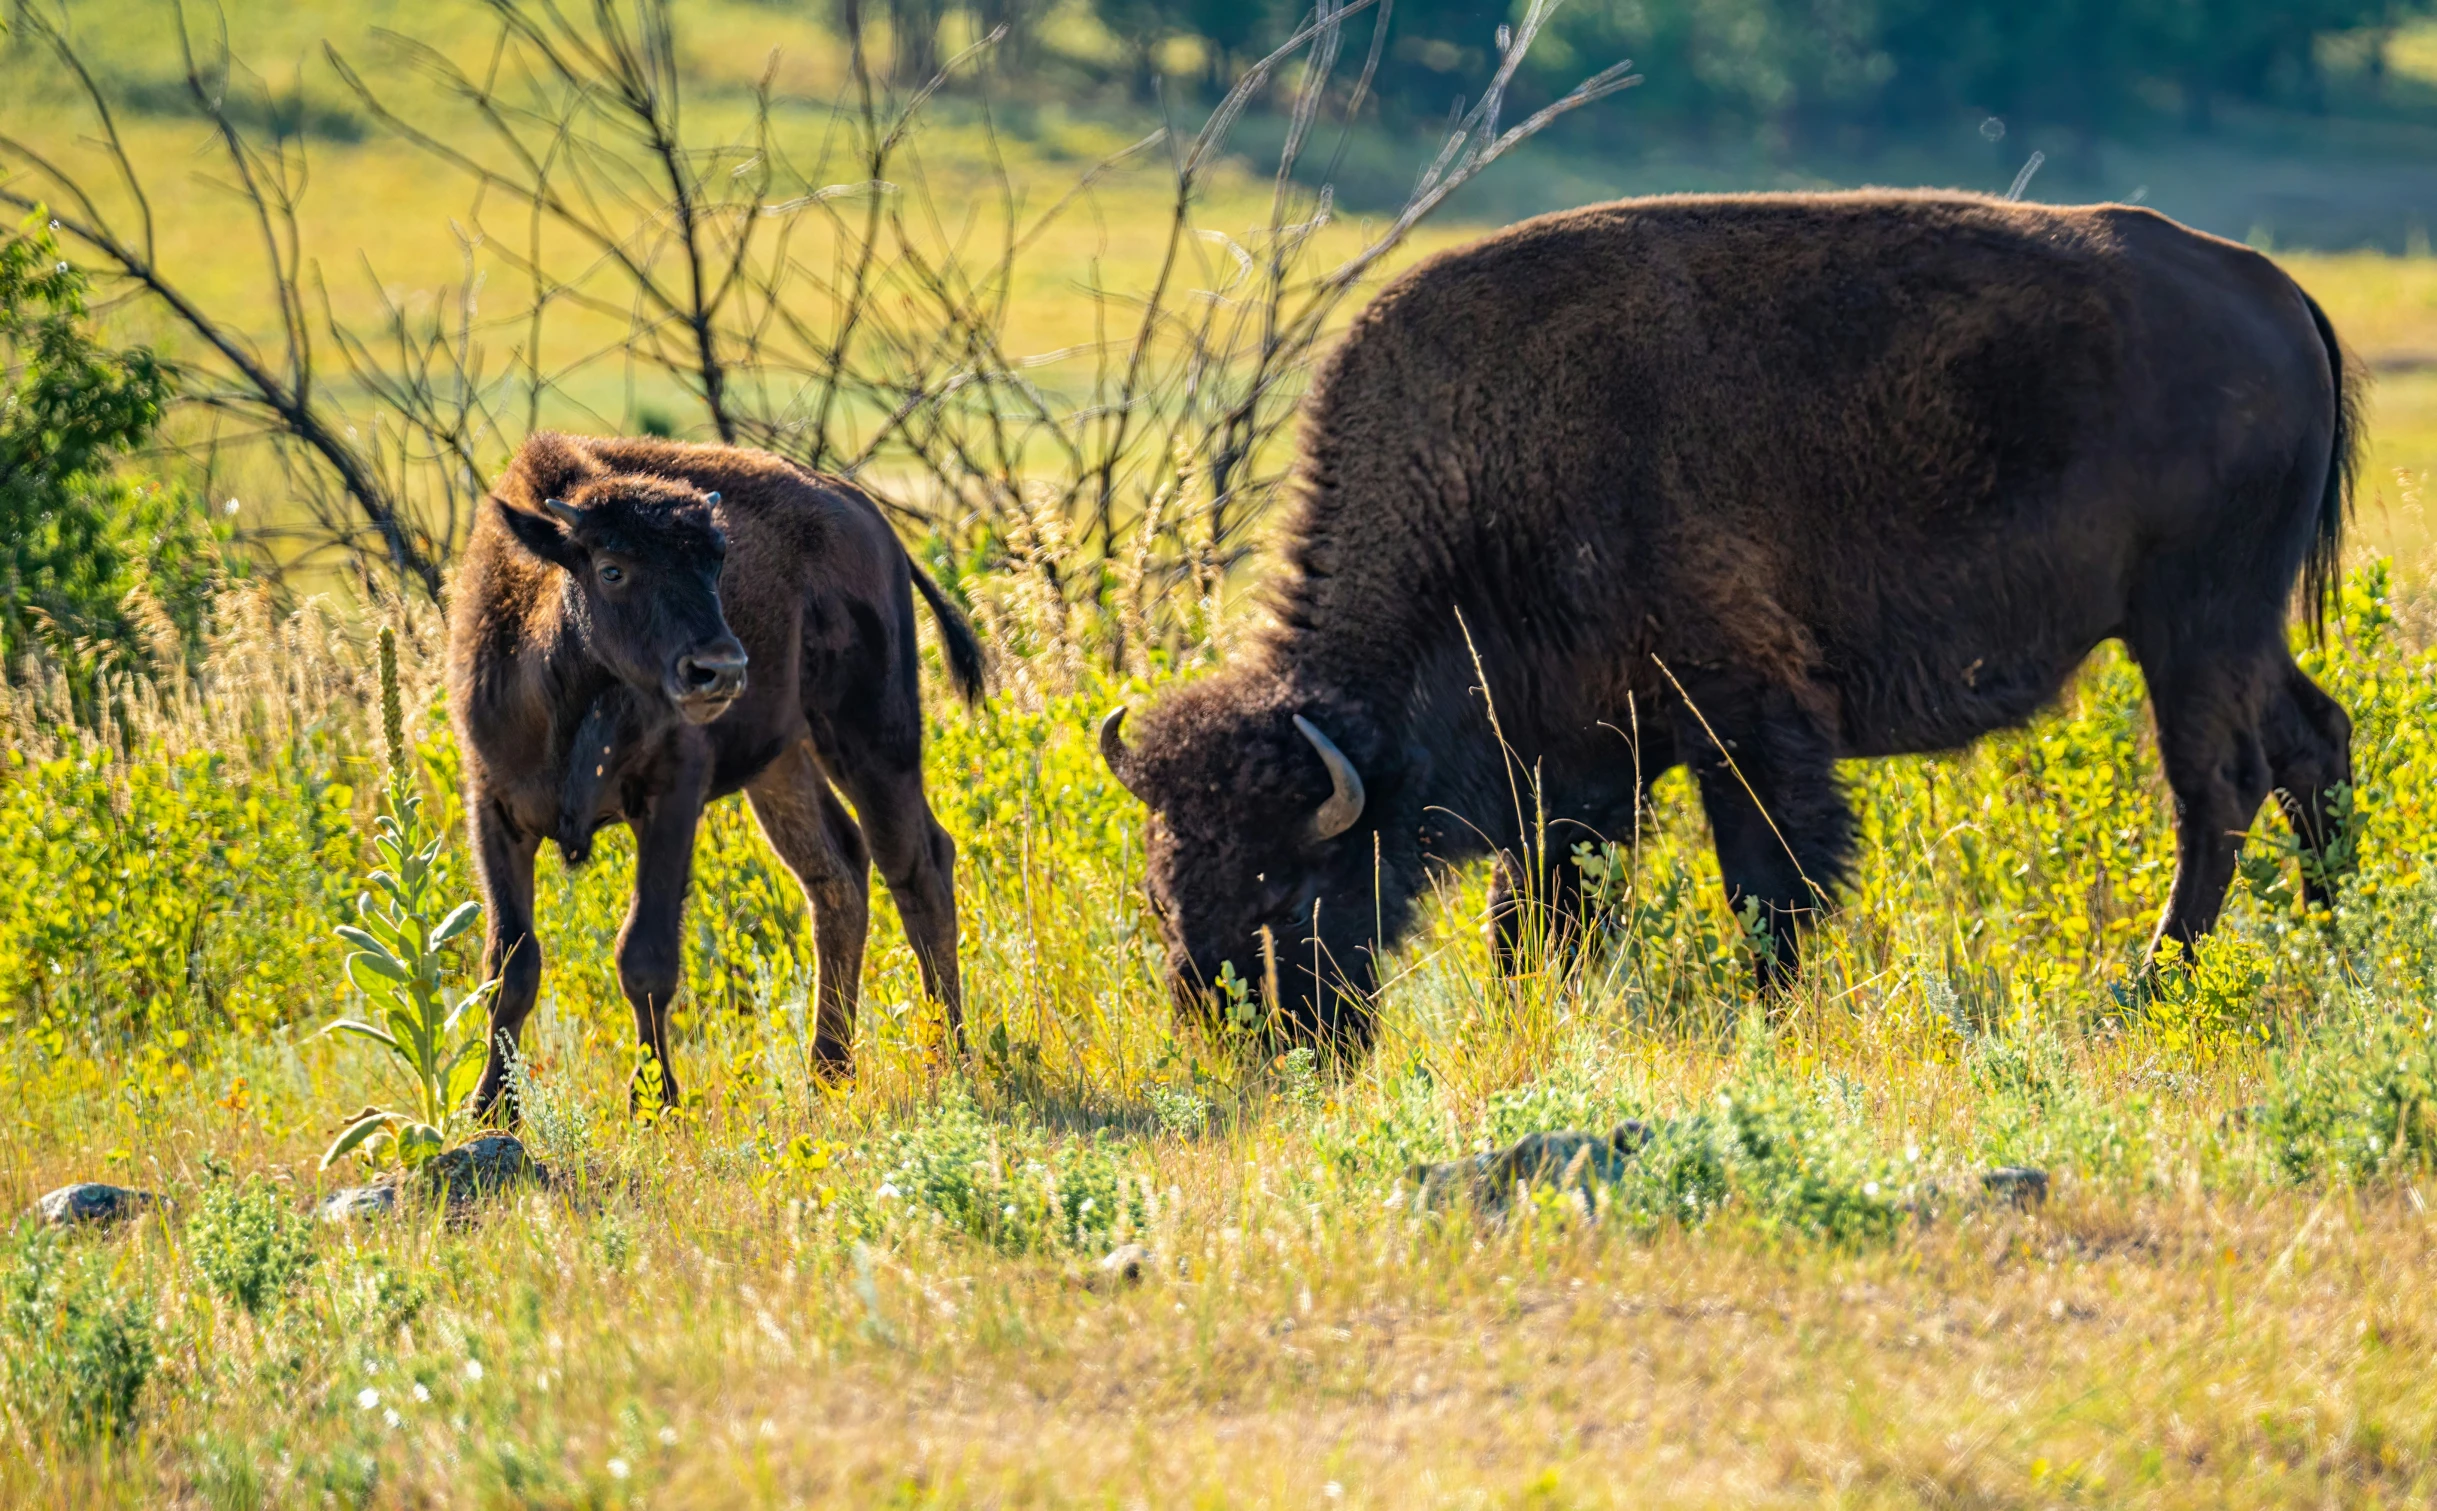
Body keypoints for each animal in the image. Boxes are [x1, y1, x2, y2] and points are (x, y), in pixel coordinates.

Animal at [448, 428, 979, 1111]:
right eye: (612, 567)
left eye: (717, 562)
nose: (719, 668)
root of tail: (869, 516)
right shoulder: (494, 808)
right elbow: (510, 964)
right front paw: (491, 1108)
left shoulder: (672, 797)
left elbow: (644, 956)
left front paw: (655, 1104)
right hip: (781, 766)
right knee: (837, 873)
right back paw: (828, 1074)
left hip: (872, 738)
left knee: (916, 866)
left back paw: (949, 1062)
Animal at [1096, 191, 2349, 1052]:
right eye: (1162, 890)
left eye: (1284, 888)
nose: (1250, 1045)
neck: (1482, 482)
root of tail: (2273, 293)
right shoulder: (1578, 764)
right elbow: (1539, 916)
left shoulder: (1744, 719)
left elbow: (1767, 881)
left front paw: (1761, 1012)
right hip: (2235, 630)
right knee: (2312, 741)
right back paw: (2338, 944)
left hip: (2192, 623)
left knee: (2216, 786)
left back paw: (2150, 985)